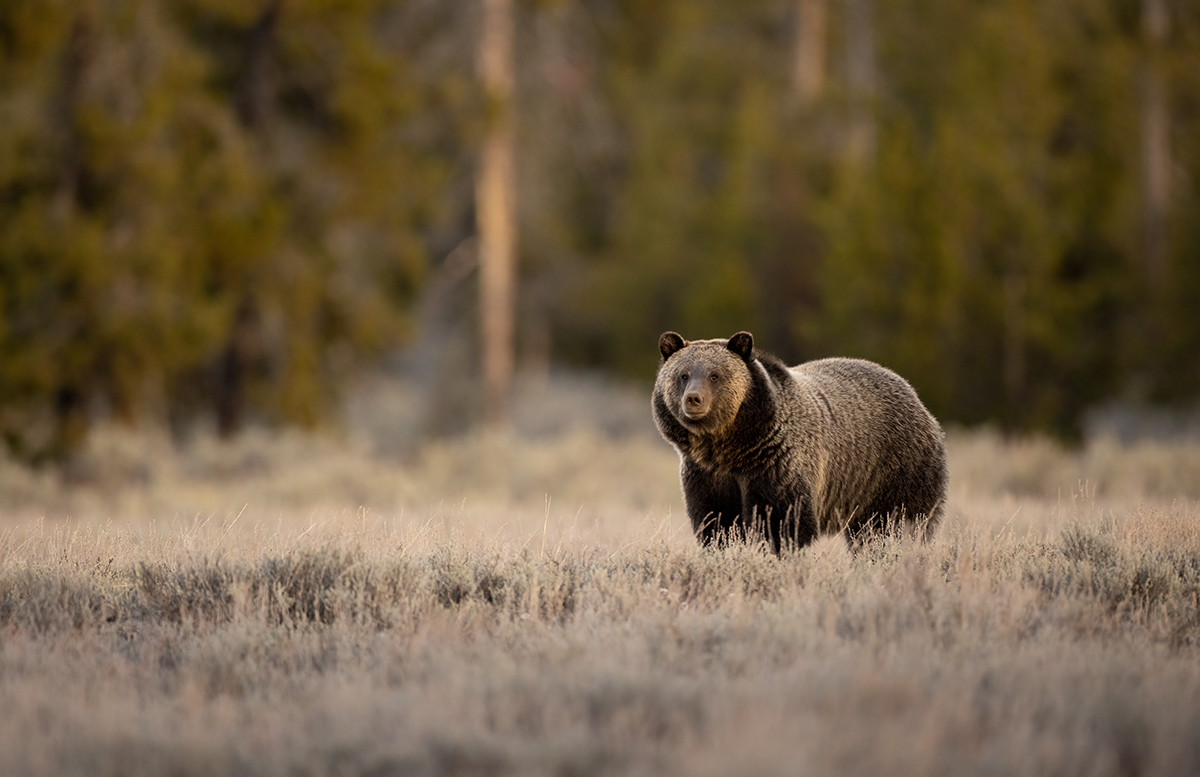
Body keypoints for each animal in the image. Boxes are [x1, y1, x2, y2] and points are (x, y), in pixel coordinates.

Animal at [652, 331, 947, 553]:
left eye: (715, 375)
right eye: (683, 375)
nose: (693, 398)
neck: (730, 445)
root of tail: (914, 394)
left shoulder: (776, 463)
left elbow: (783, 521)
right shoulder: (707, 474)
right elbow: (716, 522)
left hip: (894, 471)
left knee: (896, 525)